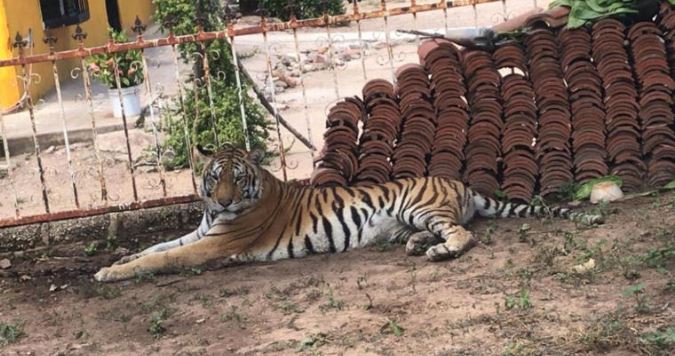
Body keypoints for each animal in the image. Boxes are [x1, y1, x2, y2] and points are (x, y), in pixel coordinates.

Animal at [92, 143, 604, 282]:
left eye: (236, 178)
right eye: (214, 176)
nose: (221, 200)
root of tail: (459, 181)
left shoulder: (215, 243)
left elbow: (163, 258)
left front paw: (108, 274)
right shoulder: (200, 232)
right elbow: (155, 247)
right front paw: (116, 261)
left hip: (419, 205)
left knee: (465, 235)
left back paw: (439, 252)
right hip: (410, 218)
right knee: (445, 230)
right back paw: (419, 246)